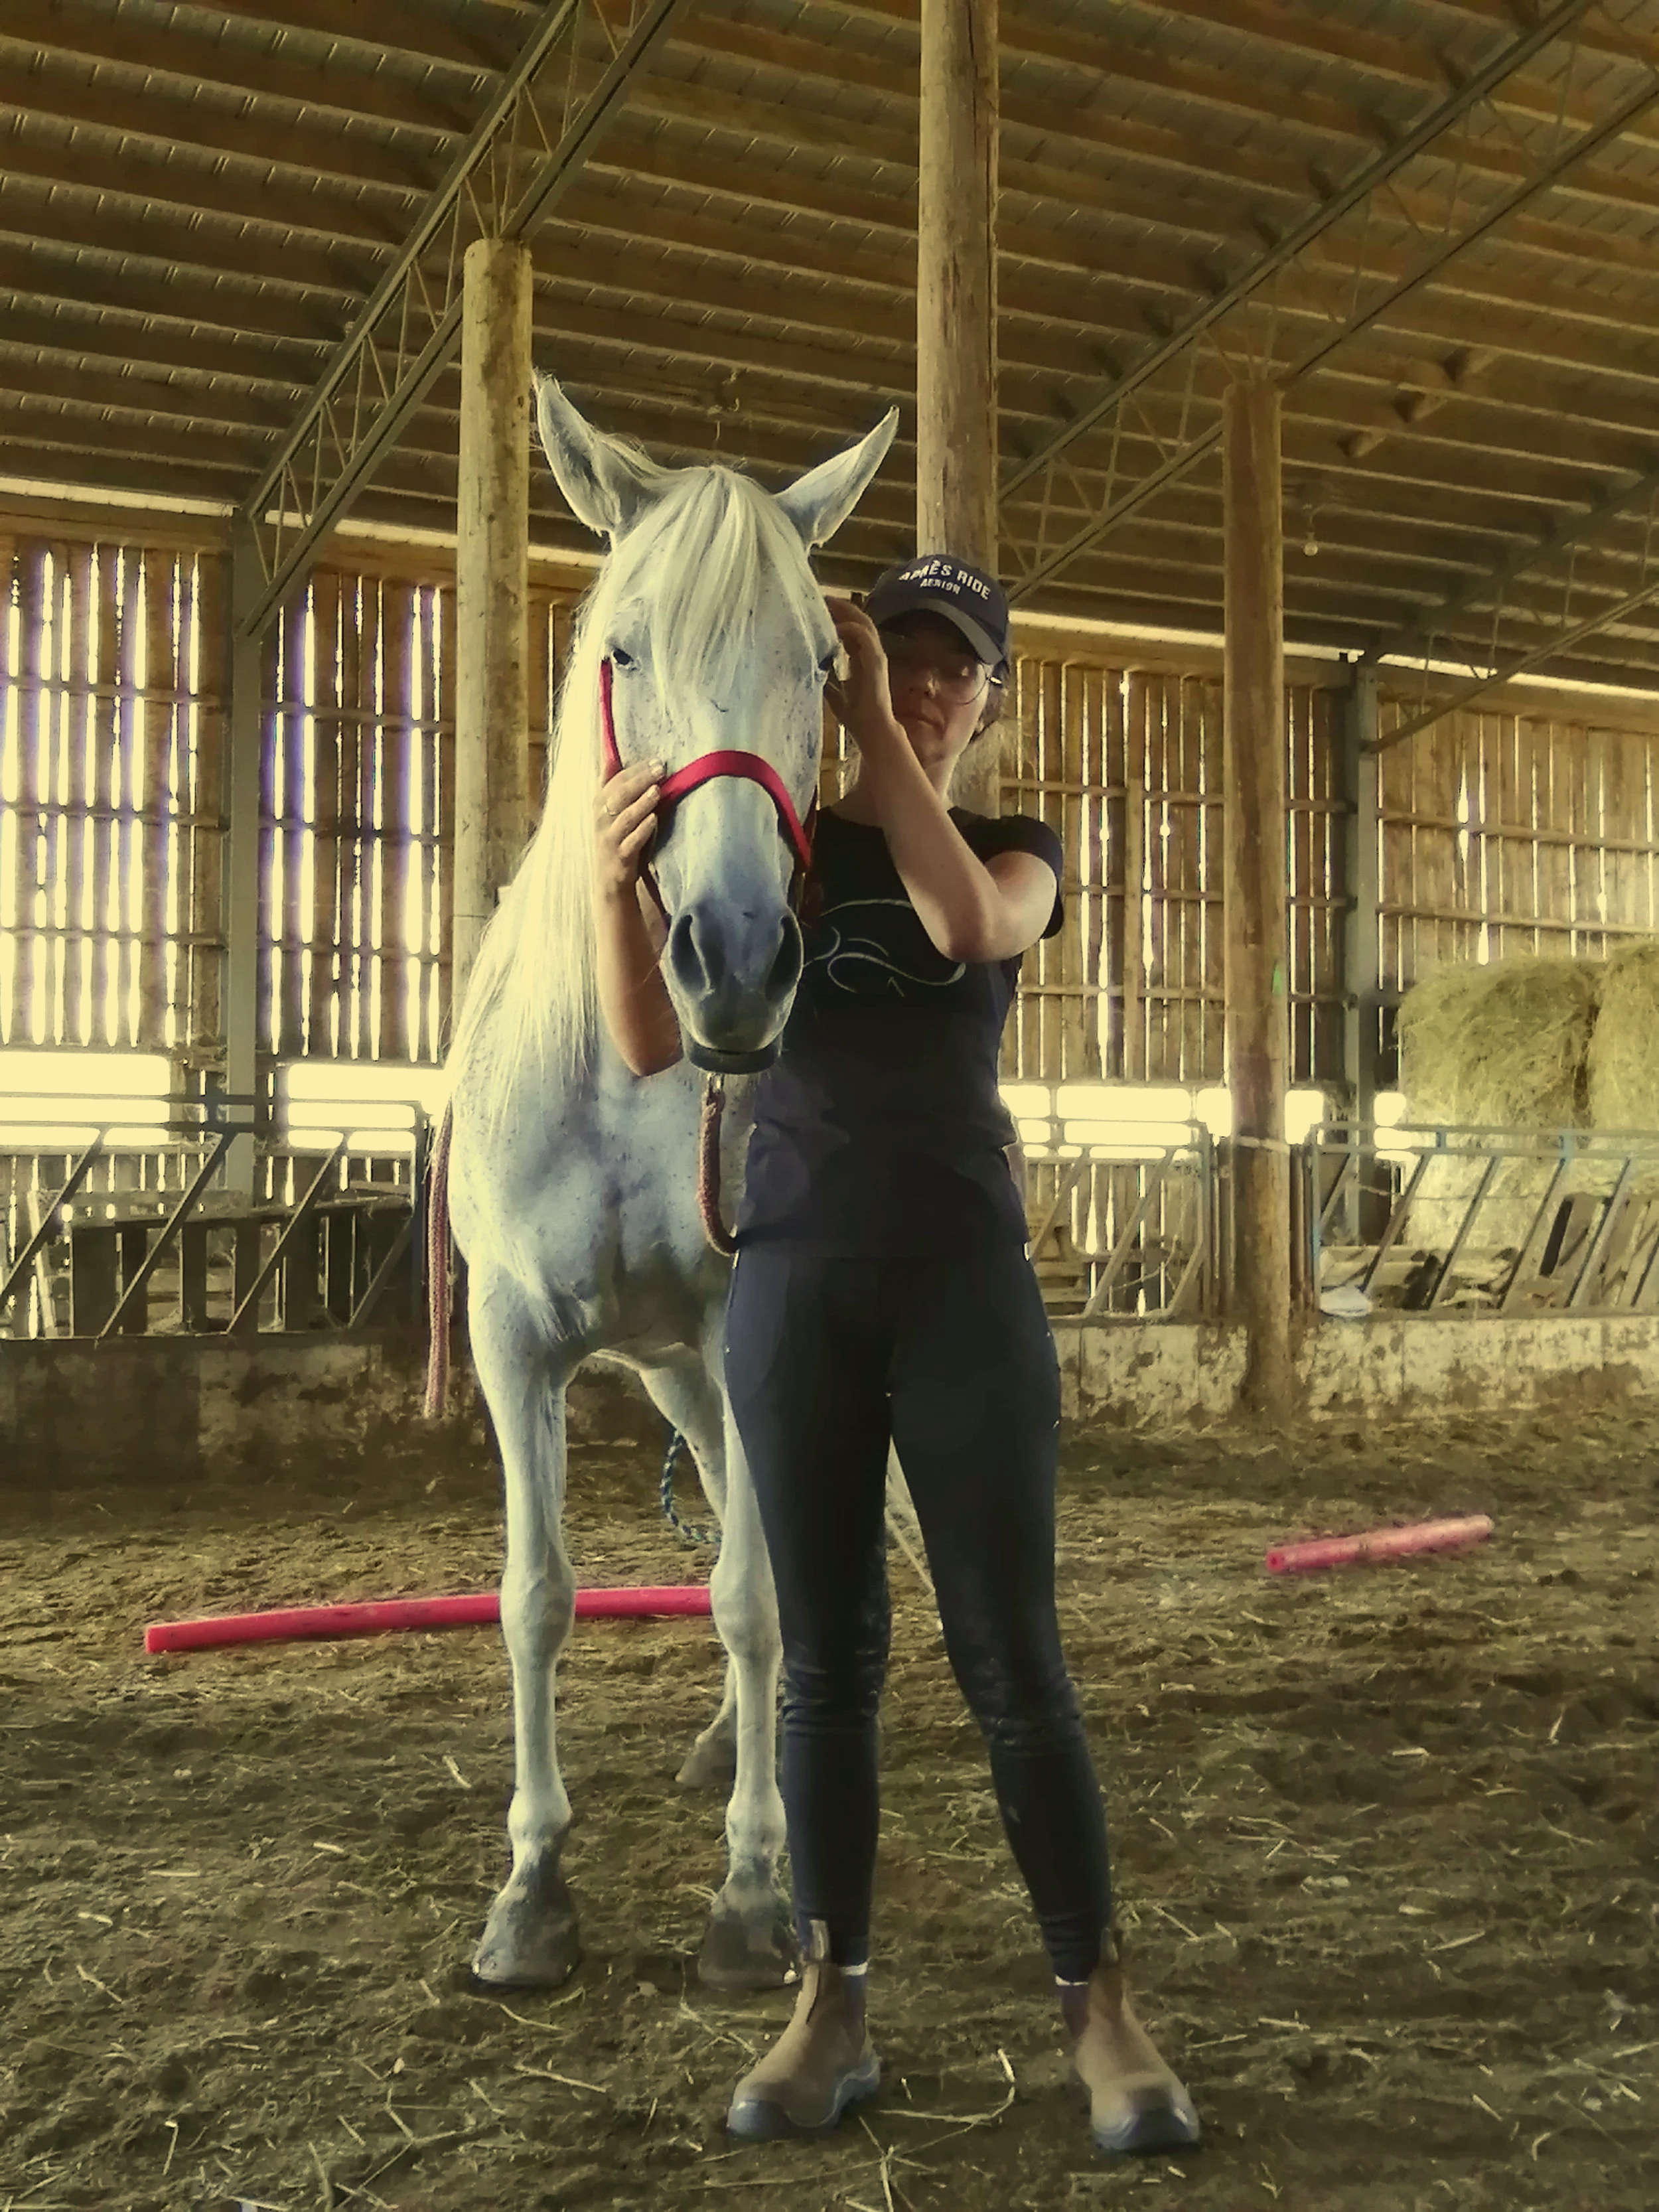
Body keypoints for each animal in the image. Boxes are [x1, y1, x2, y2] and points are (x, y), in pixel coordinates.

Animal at [439, 377, 896, 1993]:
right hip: (675, 1379)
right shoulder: (511, 1342)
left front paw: (756, 1894)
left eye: (823, 661)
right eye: (622, 649)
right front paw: (529, 1891)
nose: (736, 960)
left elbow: (754, 1600)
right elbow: (534, 1599)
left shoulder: (741, 1331)